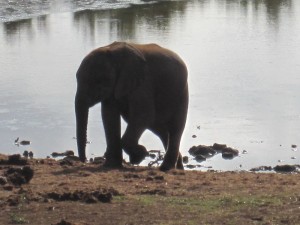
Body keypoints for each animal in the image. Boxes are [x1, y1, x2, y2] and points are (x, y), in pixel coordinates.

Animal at [74, 41, 188, 171]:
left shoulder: (143, 83)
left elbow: (143, 115)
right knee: (159, 129)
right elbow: (109, 116)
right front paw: (112, 165)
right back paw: (178, 168)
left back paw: (166, 168)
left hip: (182, 93)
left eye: (98, 81)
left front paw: (140, 155)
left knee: (175, 128)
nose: (84, 161)